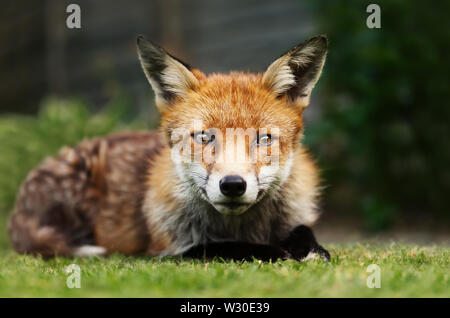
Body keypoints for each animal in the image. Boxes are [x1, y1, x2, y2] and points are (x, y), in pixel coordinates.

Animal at [7, 35, 330, 260]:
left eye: (263, 138)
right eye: (204, 137)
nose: (233, 185)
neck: (244, 227)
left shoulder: (296, 217)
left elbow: (304, 230)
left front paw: (310, 249)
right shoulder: (166, 248)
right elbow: (217, 247)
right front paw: (272, 252)